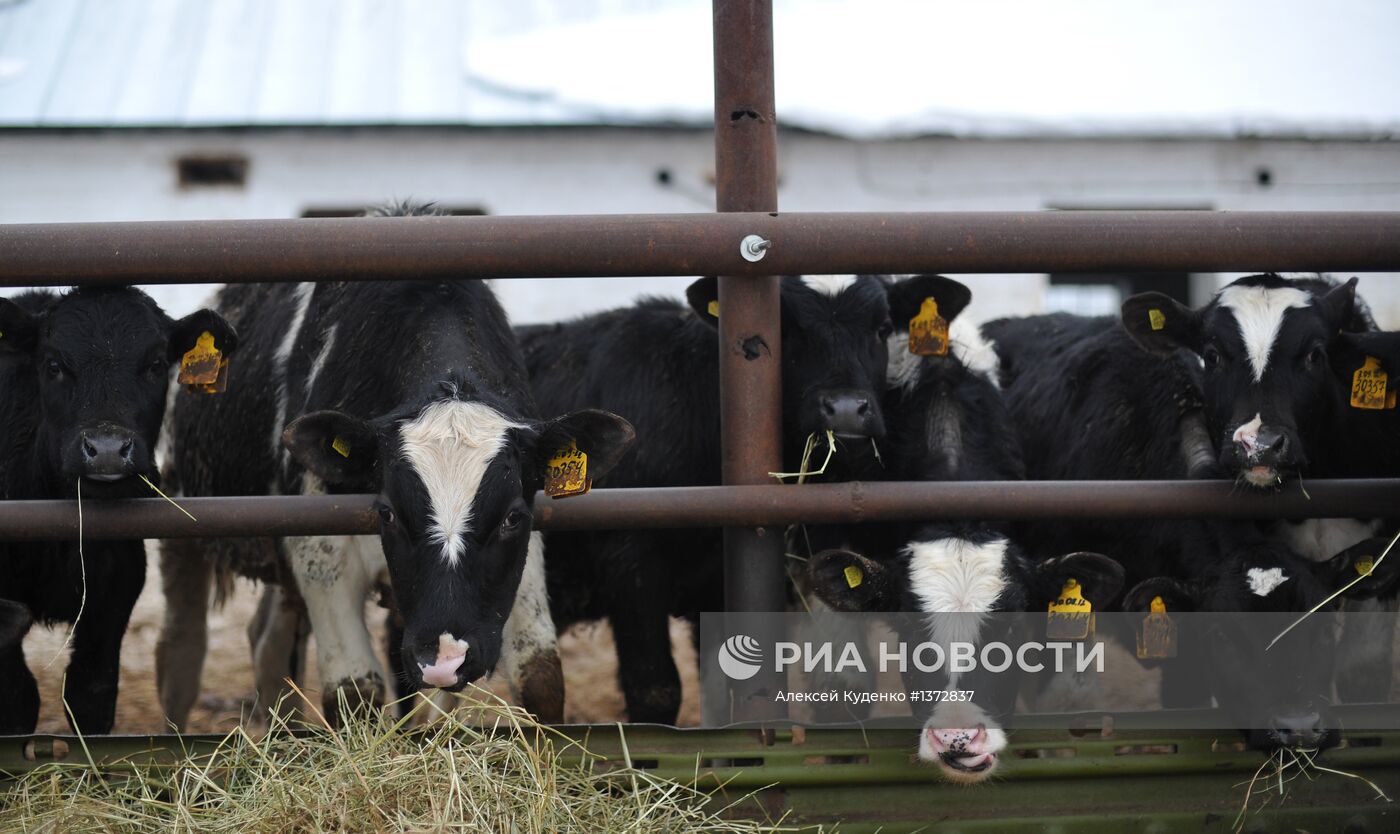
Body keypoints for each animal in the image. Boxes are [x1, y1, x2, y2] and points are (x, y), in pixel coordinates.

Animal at [0, 285, 238, 727]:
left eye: (156, 364)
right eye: (53, 364)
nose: (107, 449)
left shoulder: (114, 595)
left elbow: (90, 693)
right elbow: (16, 698)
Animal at [156, 204, 632, 727]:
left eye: (512, 516)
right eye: (386, 512)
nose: (444, 658)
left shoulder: (526, 551)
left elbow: (541, 678)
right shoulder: (320, 553)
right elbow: (354, 690)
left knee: (269, 641)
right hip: (180, 511)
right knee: (181, 650)